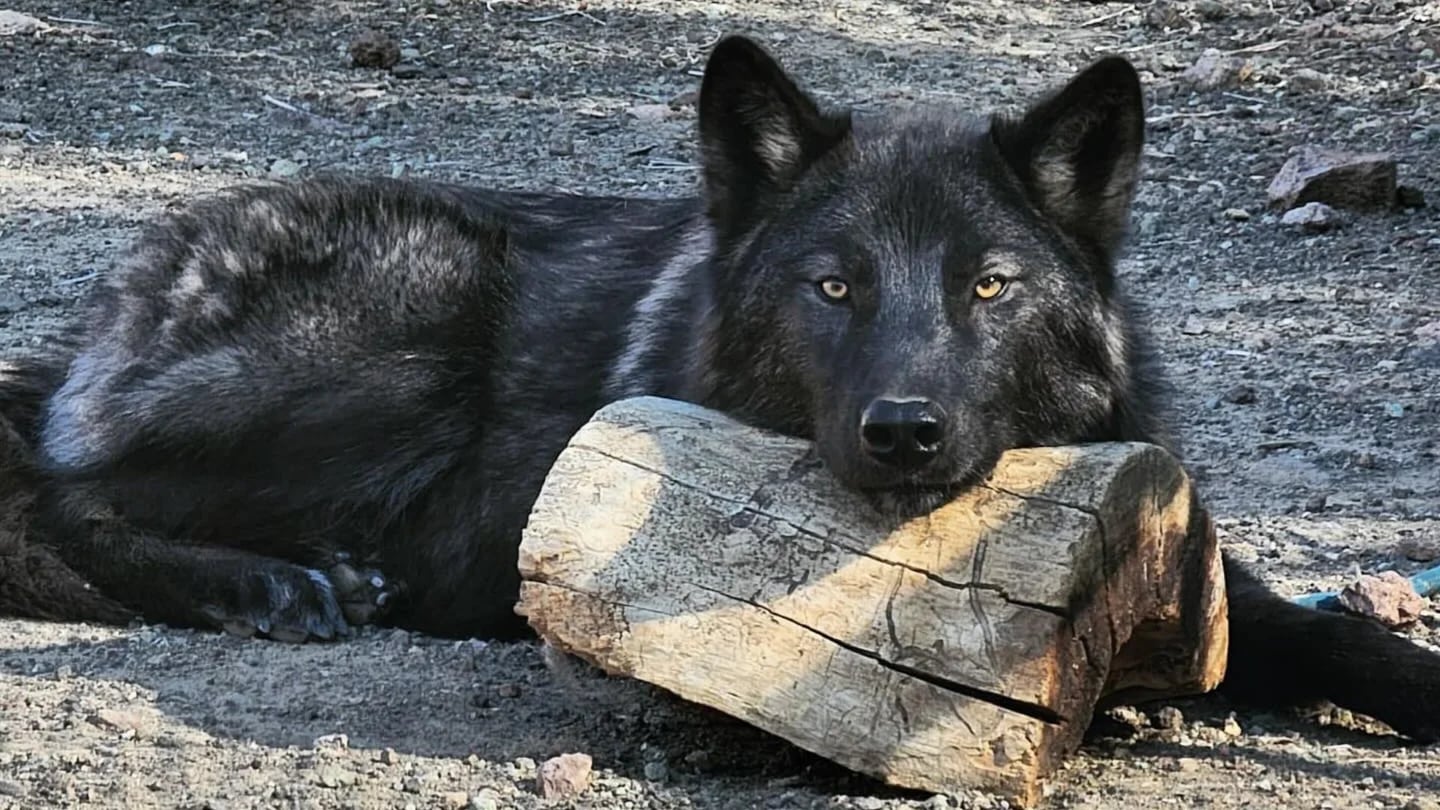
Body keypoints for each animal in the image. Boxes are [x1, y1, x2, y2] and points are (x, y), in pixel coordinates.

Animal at [2, 36, 1440, 737]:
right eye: (833, 286)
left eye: (990, 286)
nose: (905, 433)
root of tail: (98, 317)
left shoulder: (1210, 578)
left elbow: (1341, 633)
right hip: (424, 331)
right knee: (64, 495)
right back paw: (273, 582)